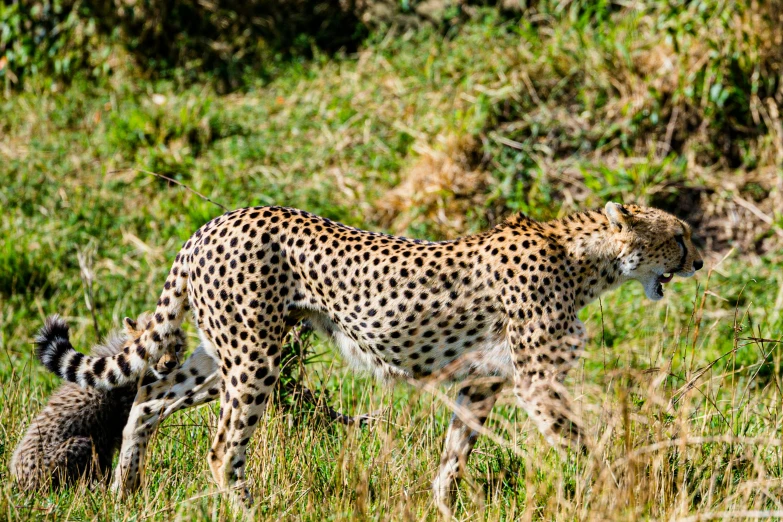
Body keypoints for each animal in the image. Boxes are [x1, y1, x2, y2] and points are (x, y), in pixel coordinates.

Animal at [36, 201, 704, 512]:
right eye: (678, 235)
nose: (699, 260)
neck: (583, 259)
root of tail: (215, 221)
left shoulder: (481, 382)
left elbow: (455, 453)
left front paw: (442, 508)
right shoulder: (538, 383)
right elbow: (584, 448)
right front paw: (621, 494)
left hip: (223, 354)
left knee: (148, 398)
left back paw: (126, 492)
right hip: (253, 360)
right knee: (222, 448)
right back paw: (251, 511)